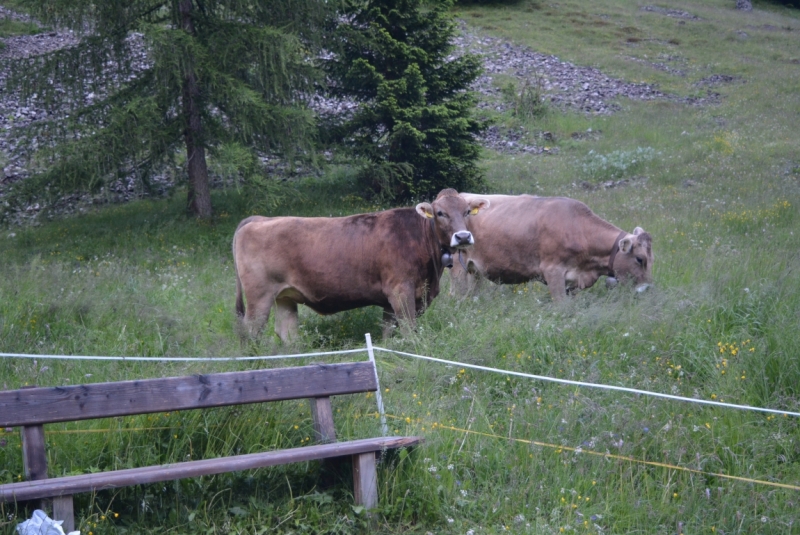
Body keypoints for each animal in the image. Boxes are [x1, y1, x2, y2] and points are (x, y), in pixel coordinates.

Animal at [234, 188, 490, 342]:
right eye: (439, 213)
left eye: (467, 211)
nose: (463, 236)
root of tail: (258, 219)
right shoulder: (401, 290)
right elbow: (409, 329)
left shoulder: (392, 300)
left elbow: (388, 332)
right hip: (259, 295)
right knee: (250, 331)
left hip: (284, 297)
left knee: (287, 333)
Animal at [446, 194, 652, 302]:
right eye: (639, 259)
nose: (647, 289)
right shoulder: (553, 271)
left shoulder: (573, 282)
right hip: (457, 267)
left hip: (474, 271)